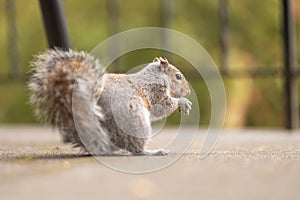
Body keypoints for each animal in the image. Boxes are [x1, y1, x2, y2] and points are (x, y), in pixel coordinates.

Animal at [28, 48, 192, 156]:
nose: (189, 91)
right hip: (136, 123)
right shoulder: (155, 92)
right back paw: (153, 152)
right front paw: (183, 102)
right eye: (178, 76)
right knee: (136, 149)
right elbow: (163, 106)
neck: (154, 75)